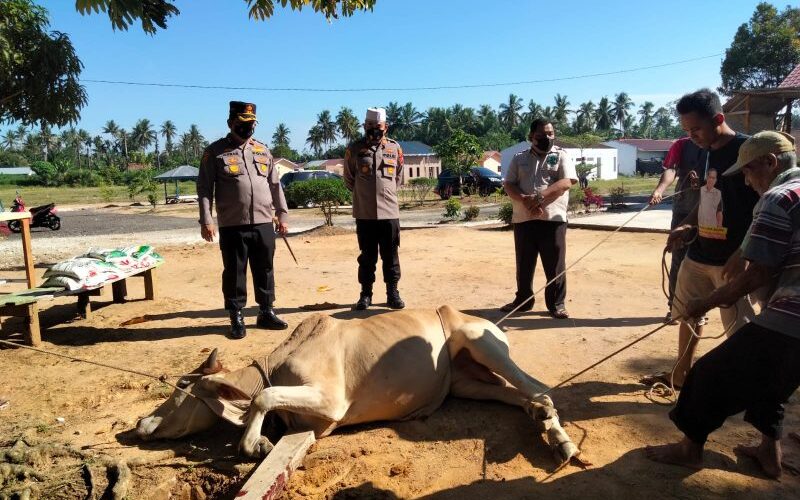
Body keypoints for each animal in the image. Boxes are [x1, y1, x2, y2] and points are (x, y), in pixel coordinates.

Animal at [135, 306, 583, 466]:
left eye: (180, 386)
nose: (140, 424)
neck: (275, 364)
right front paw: (260, 440)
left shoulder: (330, 403)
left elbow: (263, 397)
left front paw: (251, 444)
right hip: (464, 383)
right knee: (518, 396)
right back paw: (544, 425)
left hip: (480, 341)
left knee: (538, 387)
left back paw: (561, 440)